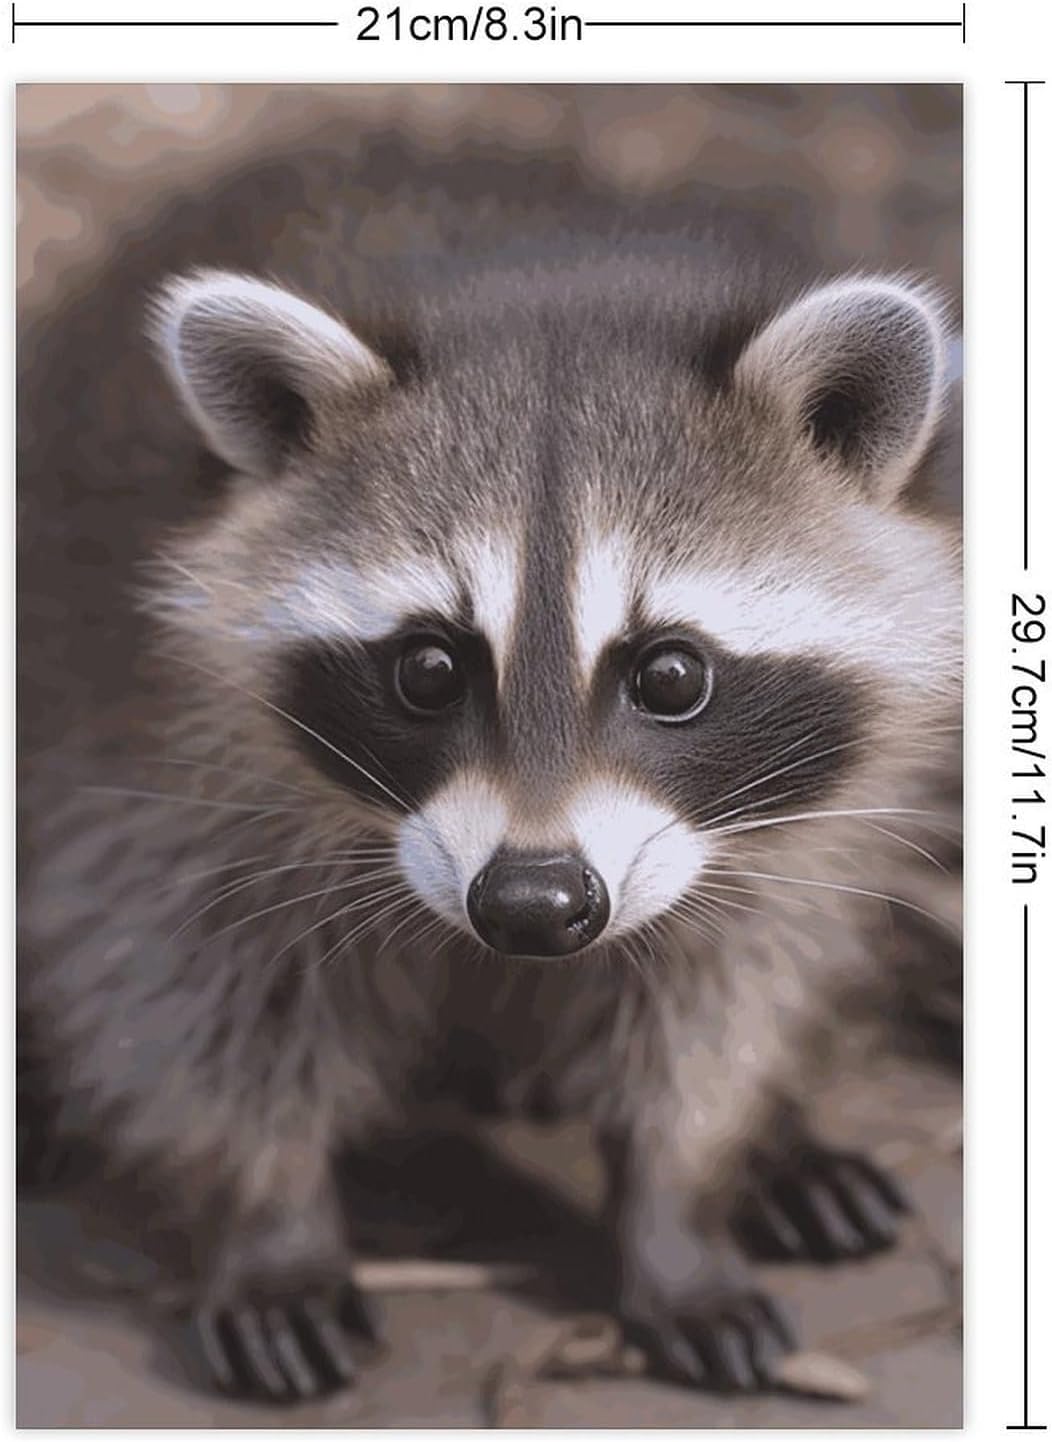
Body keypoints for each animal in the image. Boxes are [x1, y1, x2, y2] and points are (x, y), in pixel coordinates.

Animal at [18, 145, 961, 1402]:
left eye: (670, 673)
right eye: (426, 666)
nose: (530, 902)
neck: (535, 286)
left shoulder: (790, 820)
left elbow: (723, 990)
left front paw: (683, 1201)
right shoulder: (152, 751)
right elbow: (184, 987)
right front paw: (268, 1215)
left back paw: (782, 1146)